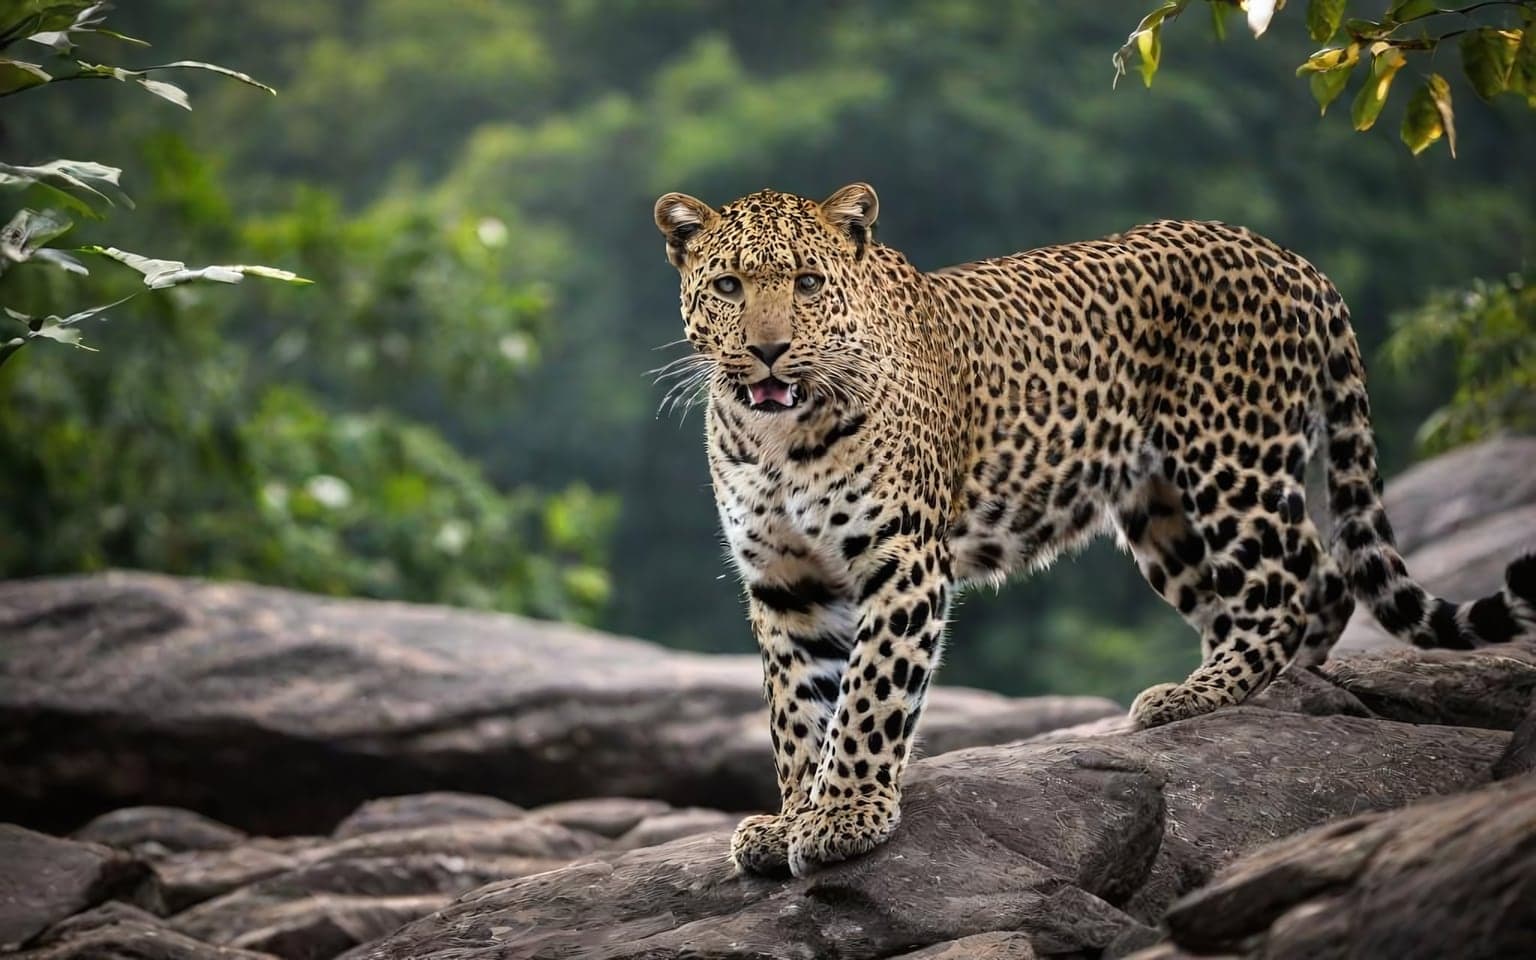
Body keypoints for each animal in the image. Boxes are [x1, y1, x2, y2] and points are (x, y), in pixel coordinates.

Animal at [650, 181, 1536, 879]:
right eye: (727, 285)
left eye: (807, 283)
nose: (769, 351)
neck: (778, 437)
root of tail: (1293, 259)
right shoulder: (786, 582)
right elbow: (798, 712)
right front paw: (792, 817)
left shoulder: (900, 560)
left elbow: (870, 695)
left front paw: (845, 816)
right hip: (1161, 507)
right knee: (1311, 575)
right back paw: (1276, 687)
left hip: (1231, 456)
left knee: (1285, 584)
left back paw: (1198, 695)